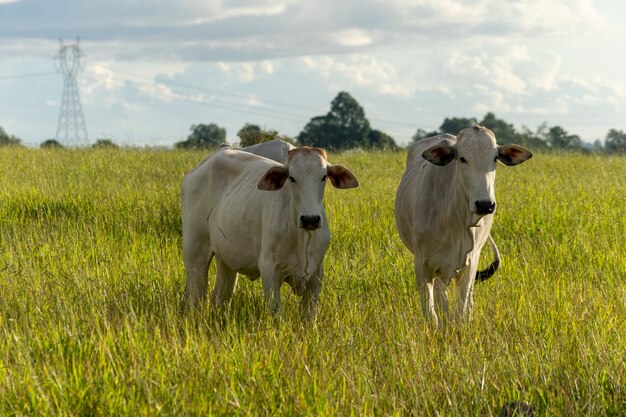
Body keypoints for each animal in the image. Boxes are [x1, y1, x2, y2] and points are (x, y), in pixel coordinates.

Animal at [180, 145, 356, 316]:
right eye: (292, 178)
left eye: (324, 177)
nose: (310, 219)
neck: (302, 238)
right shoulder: (269, 270)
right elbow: (276, 314)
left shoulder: (316, 274)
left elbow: (309, 316)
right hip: (195, 253)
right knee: (196, 298)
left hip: (226, 259)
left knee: (219, 297)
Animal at [392, 125, 528, 330]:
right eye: (463, 158)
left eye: (495, 158)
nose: (485, 204)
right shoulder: (422, 265)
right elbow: (431, 314)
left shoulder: (469, 264)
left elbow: (461, 312)